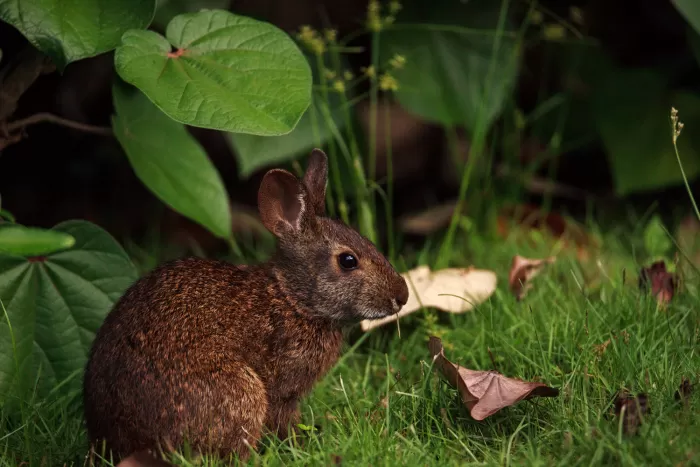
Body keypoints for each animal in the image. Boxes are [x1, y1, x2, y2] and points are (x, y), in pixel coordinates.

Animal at [82, 150, 410, 464]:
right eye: (348, 260)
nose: (402, 295)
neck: (293, 299)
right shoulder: (282, 388)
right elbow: (283, 420)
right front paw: (299, 446)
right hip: (240, 392)